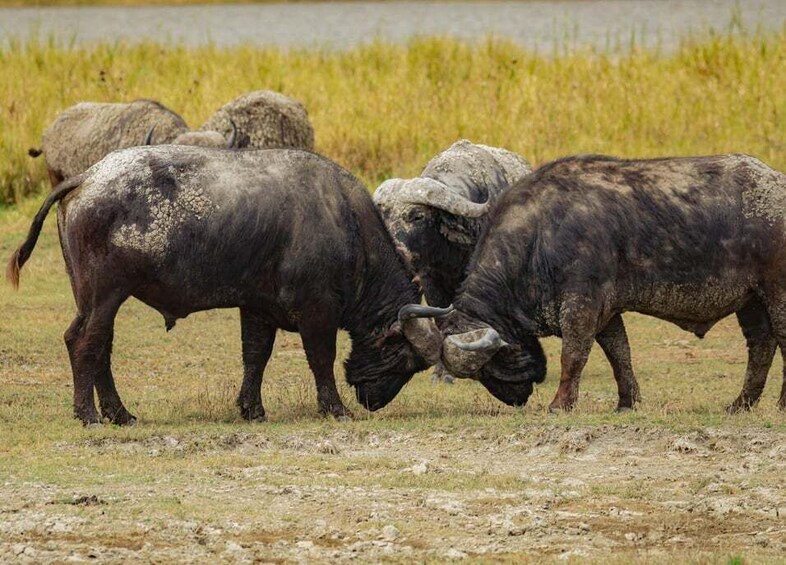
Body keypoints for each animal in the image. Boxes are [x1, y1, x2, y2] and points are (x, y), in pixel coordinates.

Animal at [7, 146, 450, 425]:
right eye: (403, 357)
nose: (373, 401)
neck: (345, 222)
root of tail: (87, 176)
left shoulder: (257, 308)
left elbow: (255, 357)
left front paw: (252, 409)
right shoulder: (317, 311)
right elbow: (320, 359)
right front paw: (335, 408)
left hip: (96, 298)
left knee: (99, 348)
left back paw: (120, 414)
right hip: (104, 295)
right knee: (84, 343)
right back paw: (89, 415)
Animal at [435, 154, 786, 413]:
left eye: (489, 363)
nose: (516, 398)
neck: (540, 233)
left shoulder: (581, 306)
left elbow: (574, 355)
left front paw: (560, 404)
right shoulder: (606, 313)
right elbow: (620, 354)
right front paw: (627, 402)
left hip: (776, 293)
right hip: (751, 302)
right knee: (761, 346)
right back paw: (741, 404)